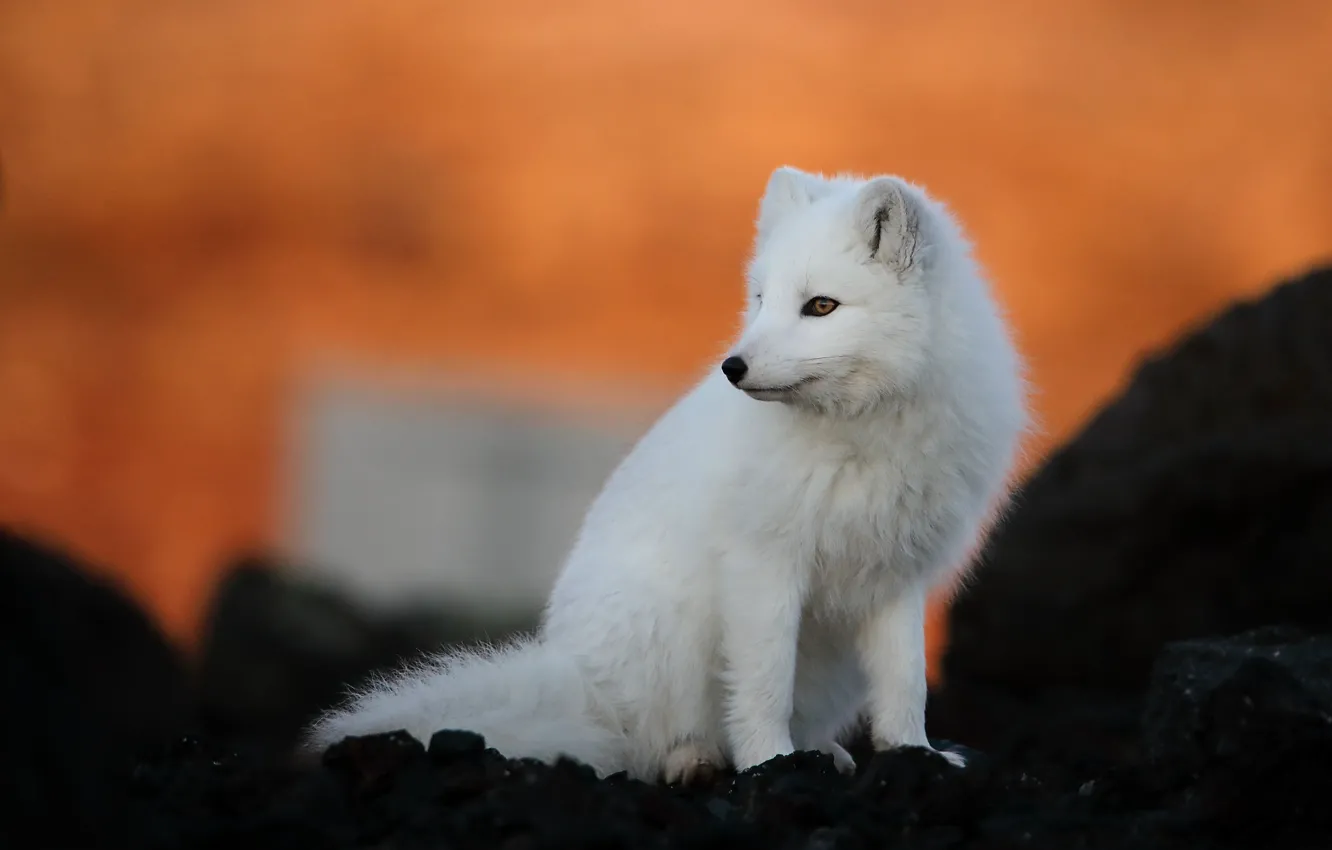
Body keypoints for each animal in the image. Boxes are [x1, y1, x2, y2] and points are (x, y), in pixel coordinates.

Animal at [305, 166, 1030, 783]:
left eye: (821, 306)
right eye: (761, 299)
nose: (733, 367)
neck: (863, 435)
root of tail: (580, 681)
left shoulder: (896, 575)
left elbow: (907, 683)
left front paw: (916, 755)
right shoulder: (763, 565)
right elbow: (763, 683)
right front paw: (769, 764)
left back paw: (823, 751)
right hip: (669, 634)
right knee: (642, 746)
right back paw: (698, 760)